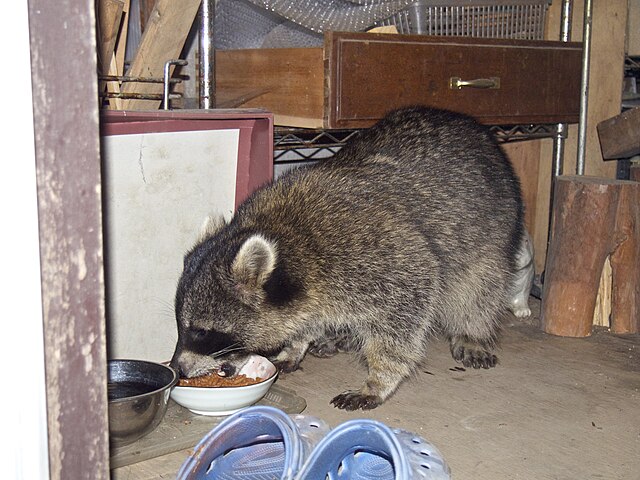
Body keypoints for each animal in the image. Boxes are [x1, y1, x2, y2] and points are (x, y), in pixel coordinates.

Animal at [170, 106, 525, 411]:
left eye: (202, 331)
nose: (178, 370)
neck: (286, 237)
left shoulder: (386, 259)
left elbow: (405, 317)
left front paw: (380, 379)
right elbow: (308, 318)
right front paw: (297, 344)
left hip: (491, 231)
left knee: (479, 287)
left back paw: (473, 331)